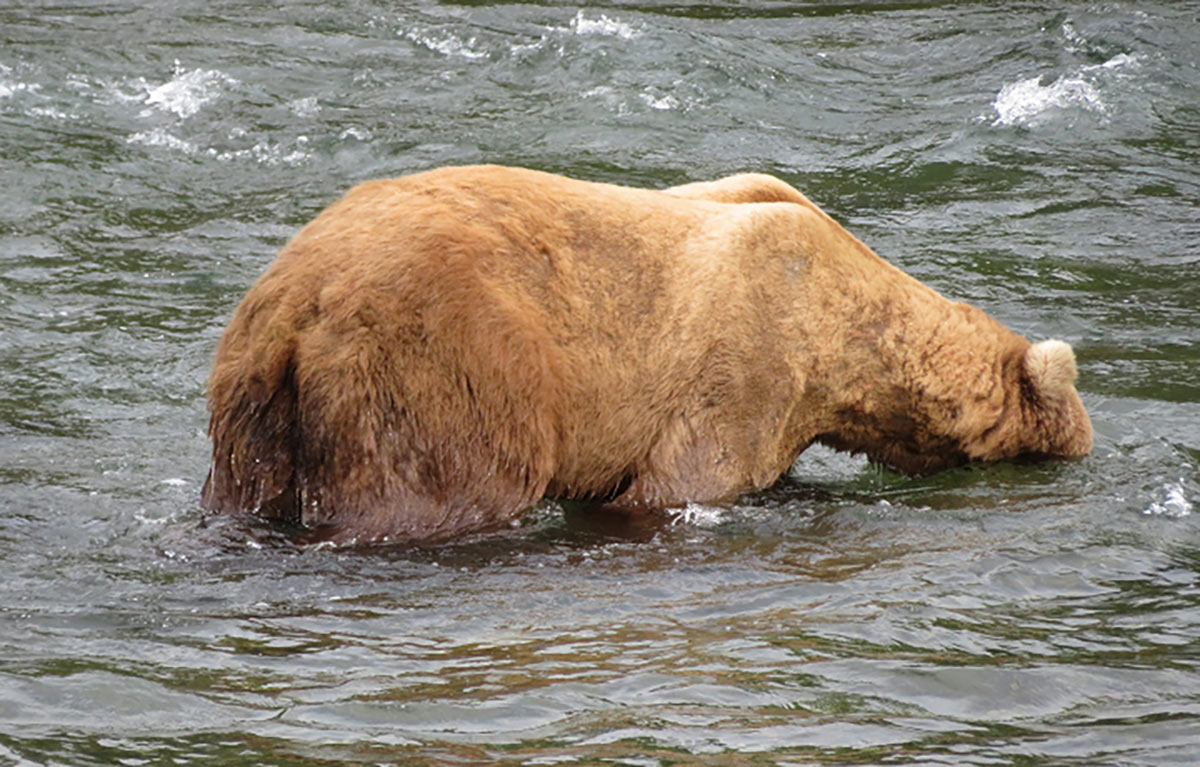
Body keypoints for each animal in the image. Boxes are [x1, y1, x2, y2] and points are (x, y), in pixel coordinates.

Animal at [201, 165, 1094, 542]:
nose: (1085, 437)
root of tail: (298, 300)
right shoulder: (748, 361)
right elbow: (677, 484)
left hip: (251, 403)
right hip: (437, 366)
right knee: (436, 491)